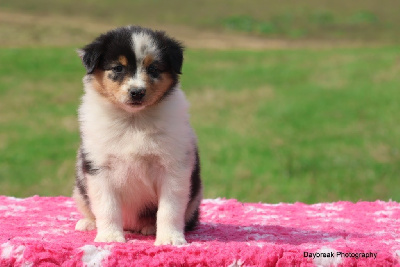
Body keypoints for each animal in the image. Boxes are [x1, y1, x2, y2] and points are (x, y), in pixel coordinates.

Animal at [72, 26, 202, 246]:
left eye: (153, 69)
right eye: (118, 68)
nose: (137, 92)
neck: (133, 121)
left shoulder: (173, 167)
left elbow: (169, 209)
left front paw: (170, 239)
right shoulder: (99, 167)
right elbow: (107, 207)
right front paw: (110, 237)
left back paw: (150, 228)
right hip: (80, 187)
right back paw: (88, 223)